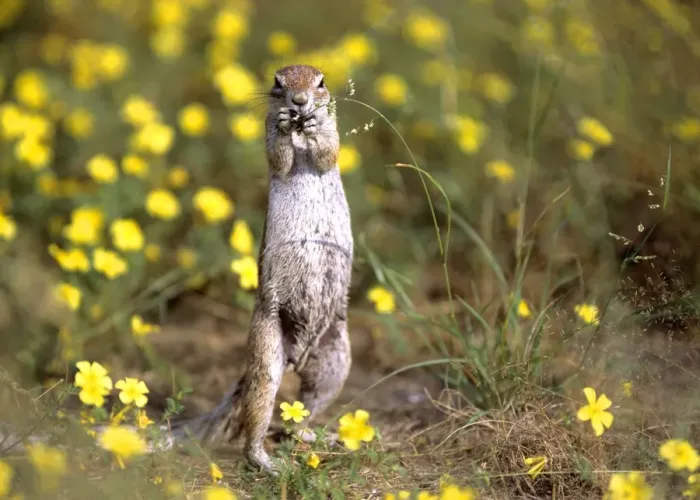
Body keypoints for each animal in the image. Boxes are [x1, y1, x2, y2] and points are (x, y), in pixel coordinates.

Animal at [163, 64, 354, 473]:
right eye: (277, 82)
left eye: (321, 82)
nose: (299, 102)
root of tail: (296, 358)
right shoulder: (268, 139)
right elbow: (278, 157)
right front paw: (285, 125)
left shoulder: (333, 132)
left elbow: (327, 152)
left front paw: (312, 125)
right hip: (266, 353)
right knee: (259, 417)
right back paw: (266, 462)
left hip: (334, 361)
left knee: (301, 414)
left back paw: (317, 436)